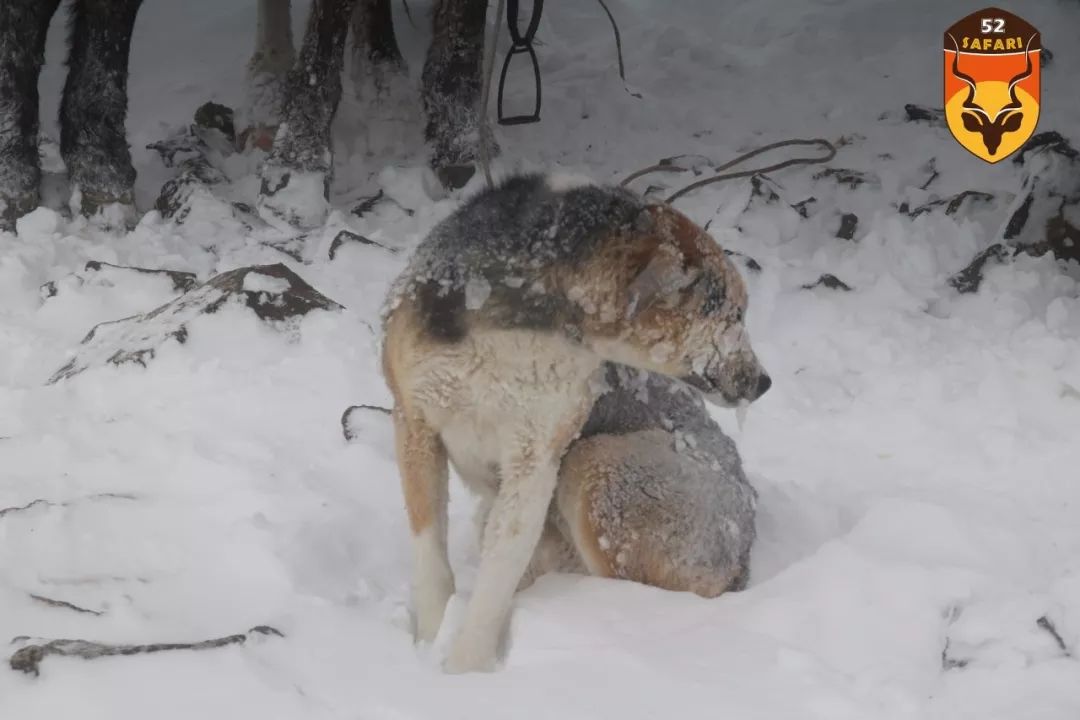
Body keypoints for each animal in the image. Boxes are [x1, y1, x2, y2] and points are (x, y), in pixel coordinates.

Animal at [380, 174, 768, 677]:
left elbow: (498, 570)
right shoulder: (415, 419)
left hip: (595, 462)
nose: (764, 382)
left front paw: (465, 670)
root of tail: (743, 555)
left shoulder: (536, 455)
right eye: (733, 314)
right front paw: (430, 639)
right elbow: (430, 554)